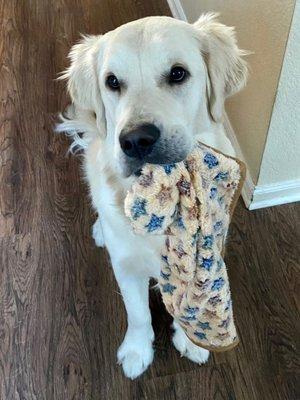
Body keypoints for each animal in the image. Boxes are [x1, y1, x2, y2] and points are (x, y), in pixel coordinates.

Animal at [57, 14, 247, 380]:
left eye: (178, 73)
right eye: (112, 82)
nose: (135, 140)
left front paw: (190, 340)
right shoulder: (125, 264)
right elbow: (138, 313)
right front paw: (136, 350)